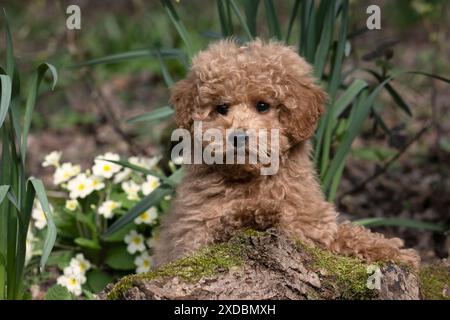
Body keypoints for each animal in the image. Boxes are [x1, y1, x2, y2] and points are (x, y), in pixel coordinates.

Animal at [152, 39, 422, 270]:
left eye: (263, 106)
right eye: (221, 108)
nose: (237, 137)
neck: (252, 178)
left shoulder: (315, 227)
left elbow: (347, 234)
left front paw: (394, 251)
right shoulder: (192, 237)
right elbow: (222, 222)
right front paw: (258, 212)